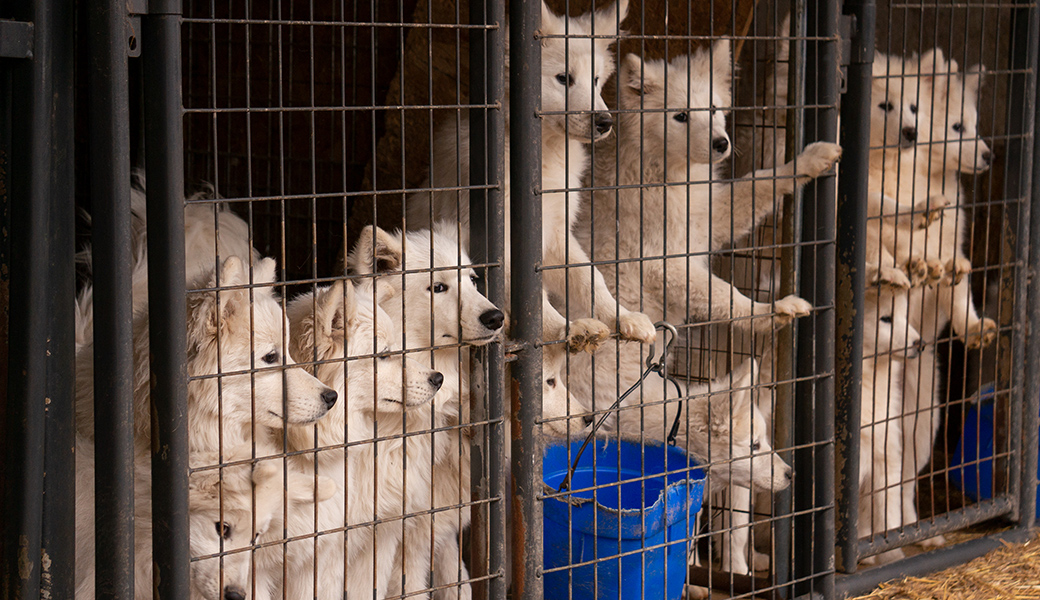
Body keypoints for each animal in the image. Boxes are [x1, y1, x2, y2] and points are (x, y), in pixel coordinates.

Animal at [403, 0, 653, 353]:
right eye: (563, 78)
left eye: (595, 79)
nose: (605, 122)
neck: (542, 154)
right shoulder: (502, 240)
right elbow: (532, 301)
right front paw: (567, 328)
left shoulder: (556, 233)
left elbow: (589, 276)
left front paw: (622, 316)